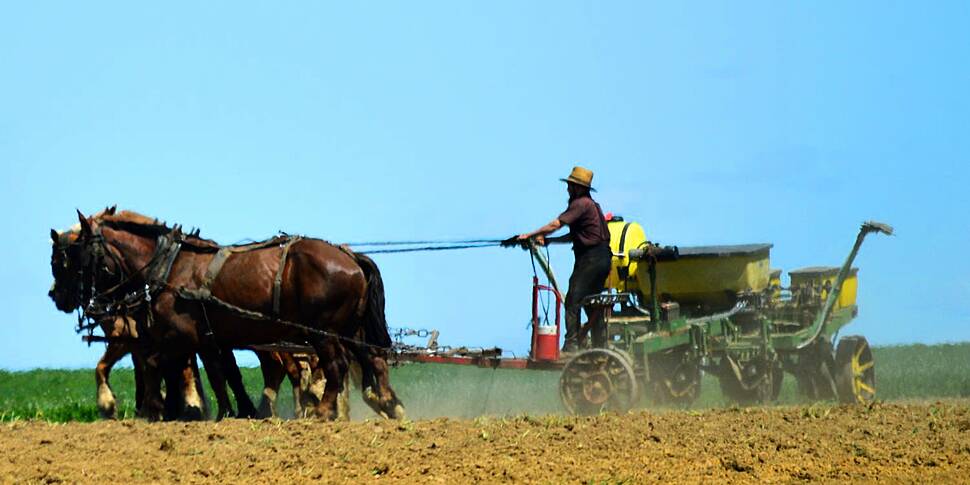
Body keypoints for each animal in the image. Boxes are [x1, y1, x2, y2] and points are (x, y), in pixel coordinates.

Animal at [48, 208, 404, 420]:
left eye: (68, 257)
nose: (57, 297)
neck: (170, 267)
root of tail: (350, 256)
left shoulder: (179, 336)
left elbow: (156, 365)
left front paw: (155, 408)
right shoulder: (207, 339)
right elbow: (221, 375)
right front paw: (230, 412)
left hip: (324, 332)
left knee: (336, 366)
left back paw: (324, 410)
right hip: (350, 329)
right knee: (372, 360)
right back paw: (389, 404)